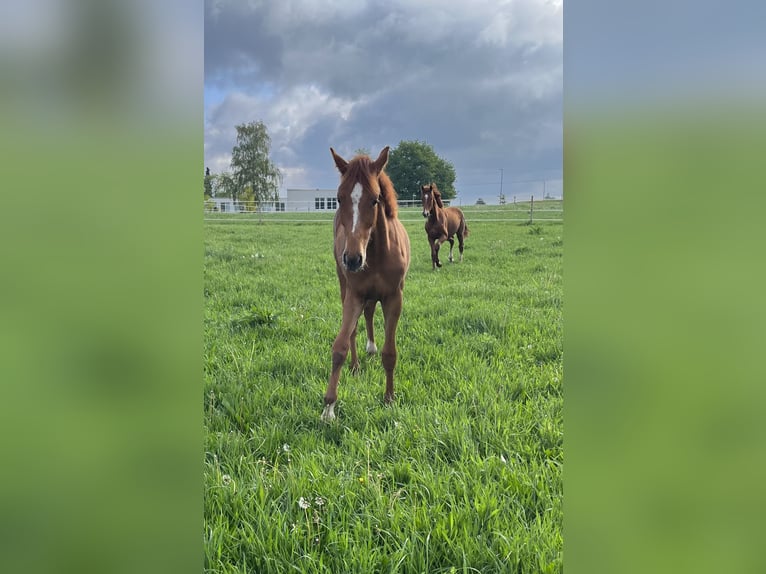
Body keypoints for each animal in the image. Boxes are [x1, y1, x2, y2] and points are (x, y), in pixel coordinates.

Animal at [320, 146, 412, 420]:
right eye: (339, 199)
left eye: (375, 199)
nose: (352, 259)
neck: (378, 253)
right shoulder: (354, 295)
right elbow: (340, 345)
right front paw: (328, 407)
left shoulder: (394, 298)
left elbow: (390, 353)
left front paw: (389, 398)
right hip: (344, 286)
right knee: (358, 325)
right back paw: (357, 365)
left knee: (370, 314)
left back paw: (371, 348)